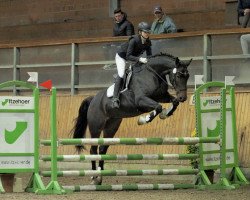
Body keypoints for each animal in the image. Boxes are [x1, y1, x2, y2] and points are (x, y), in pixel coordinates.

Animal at [71, 52, 192, 184]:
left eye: (187, 76)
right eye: (179, 75)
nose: (183, 98)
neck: (152, 73)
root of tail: (93, 99)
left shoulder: (161, 96)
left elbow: (173, 102)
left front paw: (165, 114)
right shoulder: (140, 100)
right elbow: (158, 107)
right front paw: (145, 119)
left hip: (111, 126)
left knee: (103, 149)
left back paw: (100, 176)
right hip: (96, 127)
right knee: (93, 150)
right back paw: (94, 177)